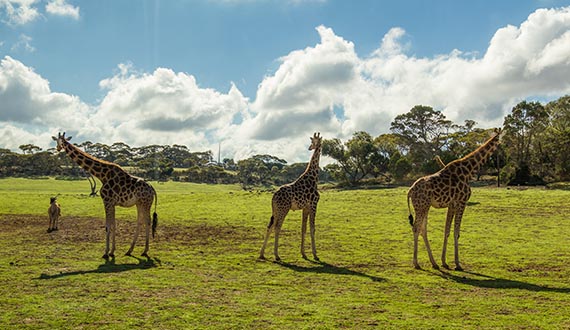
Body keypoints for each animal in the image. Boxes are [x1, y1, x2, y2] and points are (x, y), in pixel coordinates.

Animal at [260, 133, 322, 262]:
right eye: (312, 141)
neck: (314, 177)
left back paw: (262, 254)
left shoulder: (306, 207)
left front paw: (304, 254)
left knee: (270, 226)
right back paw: (277, 255)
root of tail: (273, 197)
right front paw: (315, 255)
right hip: (283, 209)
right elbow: (312, 228)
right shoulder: (313, 204)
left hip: (275, 210)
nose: (310, 147)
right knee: (277, 227)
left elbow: (303, 228)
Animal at [406, 127, 500, 270]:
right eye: (501, 137)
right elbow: (456, 232)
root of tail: (410, 191)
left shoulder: (452, 204)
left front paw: (444, 262)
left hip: (424, 207)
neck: (469, 171)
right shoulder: (462, 202)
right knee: (416, 228)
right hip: (422, 206)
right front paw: (457, 263)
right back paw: (416, 263)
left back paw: (434, 263)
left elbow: (447, 230)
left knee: (423, 229)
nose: (501, 147)